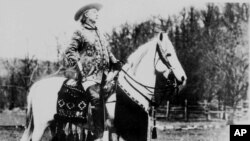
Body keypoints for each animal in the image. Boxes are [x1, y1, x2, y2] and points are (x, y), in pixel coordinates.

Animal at [21, 32, 186, 141]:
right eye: (169, 54)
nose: (183, 78)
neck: (128, 92)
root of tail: (36, 86)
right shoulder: (111, 130)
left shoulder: (116, 132)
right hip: (41, 125)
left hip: (55, 123)